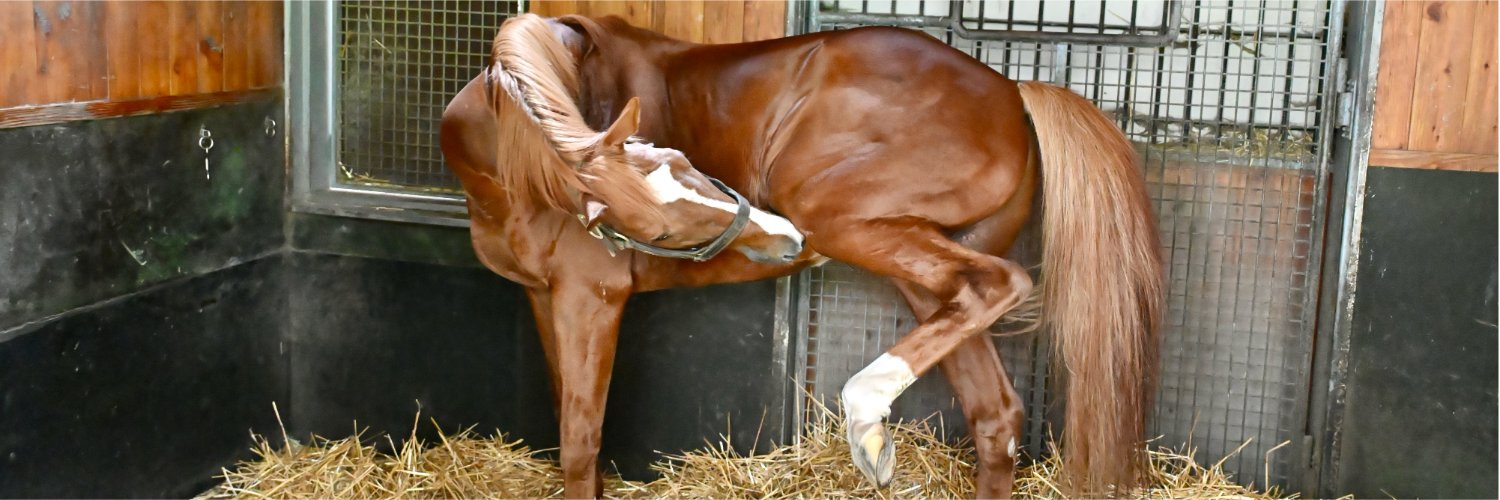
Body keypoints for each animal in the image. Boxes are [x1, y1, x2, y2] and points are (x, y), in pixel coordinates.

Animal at [442, 12, 1164, 499]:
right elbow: (575, 435)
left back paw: (867, 424)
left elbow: (580, 442)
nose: (783, 239)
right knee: (994, 410)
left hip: (844, 221)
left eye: (687, 164)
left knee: (1001, 286)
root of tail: (1011, 91)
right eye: (663, 228)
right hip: (924, 271)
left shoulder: (590, 299)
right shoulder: (546, 298)